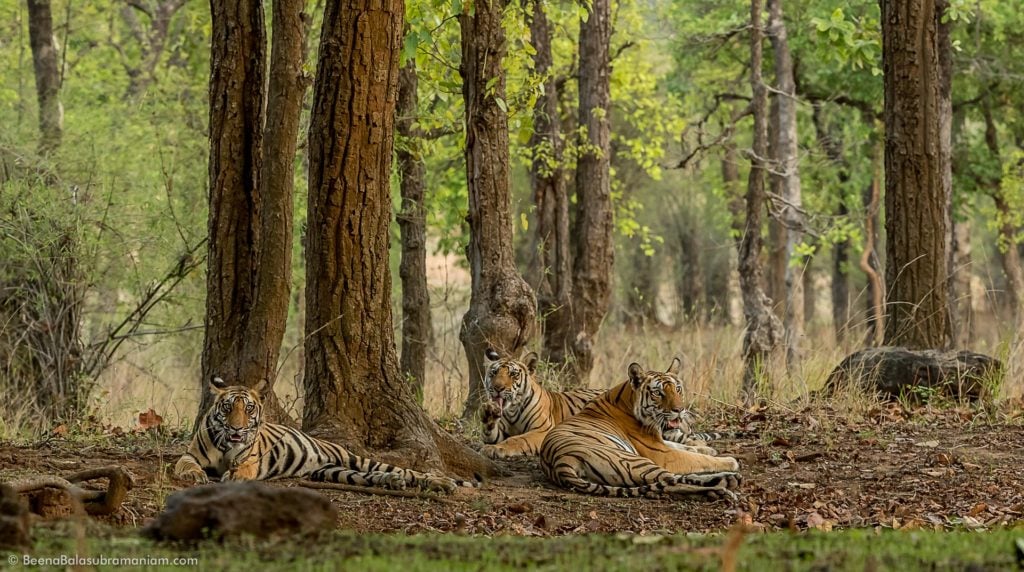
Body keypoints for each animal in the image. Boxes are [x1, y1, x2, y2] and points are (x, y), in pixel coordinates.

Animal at [174, 378, 477, 495]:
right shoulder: (191, 453)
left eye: (248, 408)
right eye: (228, 408)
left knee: (411, 472)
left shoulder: (252, 460)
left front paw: (233, 476)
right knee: (375, 476)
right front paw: (194, 475)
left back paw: (442, 483)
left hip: (357, 460)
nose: (237, 428)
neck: (227, 443)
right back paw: (391, 482)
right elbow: (185, 463)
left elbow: (243, 468)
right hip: (334, 471)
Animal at [479, 349, 729, 460]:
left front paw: (496, 450)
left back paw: (705, 447)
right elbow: (491, 433)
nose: (497, 388)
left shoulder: (542, 431)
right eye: (494, 373)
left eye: (513, 374)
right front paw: (488, 414)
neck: (511, 409)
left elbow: (518, 439)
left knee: (688, 438)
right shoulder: (500, 428)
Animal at [536, 360, 745, 499]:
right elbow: (698, 459)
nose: (679, 410)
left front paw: (706, 448)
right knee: (674, 479)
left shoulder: (661, 442)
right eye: (658, 393)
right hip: (633, 461)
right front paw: (729, 460)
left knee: (668, 483)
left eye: (677, 389)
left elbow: (684, 446)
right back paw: (726, 484)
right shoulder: (661, 453)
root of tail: (560, 463)